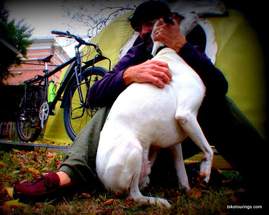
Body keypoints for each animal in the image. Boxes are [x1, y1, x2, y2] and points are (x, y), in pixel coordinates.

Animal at [95, 15, 213, 208]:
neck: (166, 52)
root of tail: (104, 183)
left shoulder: (175, 143)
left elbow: (181, 171)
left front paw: (188, 191)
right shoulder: (186, 115)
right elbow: (209, 150)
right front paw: (205, 173)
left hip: (146, 164)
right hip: (134, 149)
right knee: (134, 195)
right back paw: (158, 201)